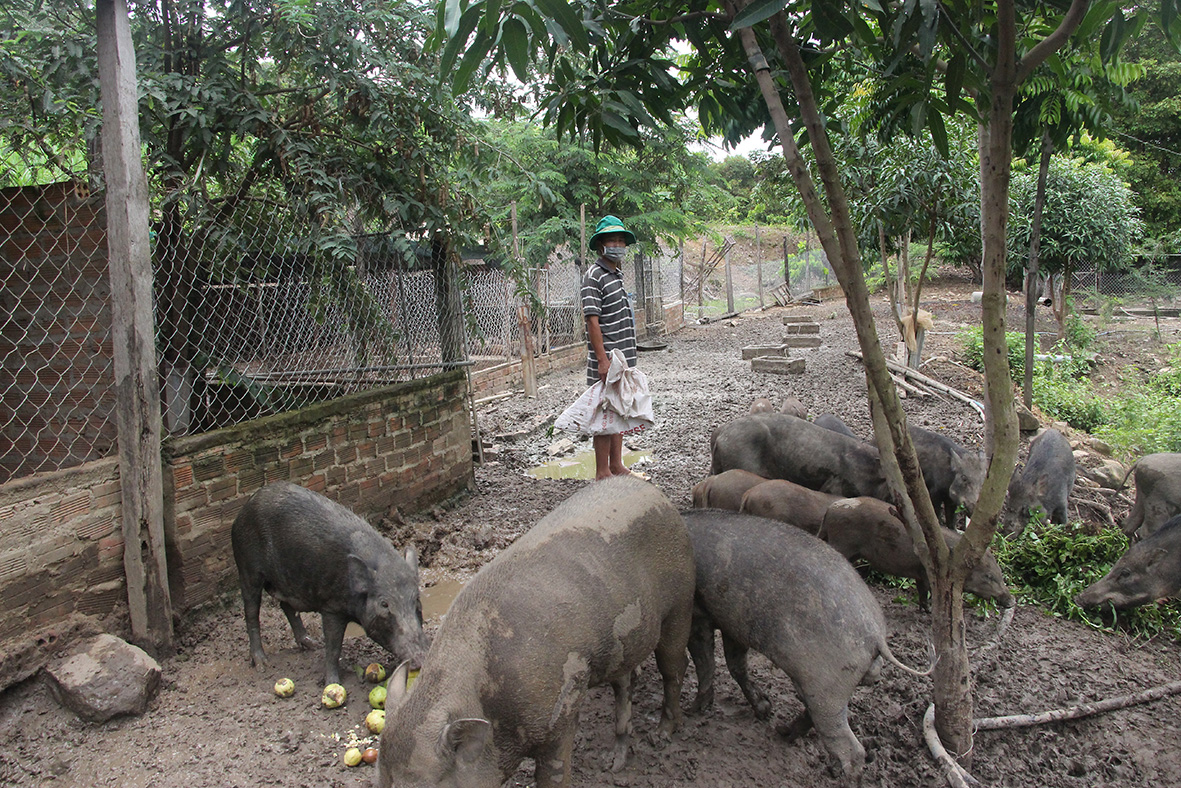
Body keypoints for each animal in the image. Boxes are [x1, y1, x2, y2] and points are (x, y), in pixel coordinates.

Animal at [227, 477, 427, 685]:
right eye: (384, 604)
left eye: (417, 600)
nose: (421, 658)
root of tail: (247, 505)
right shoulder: (331, 607)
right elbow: (333, 647)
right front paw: (332, 683)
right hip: (247, 567)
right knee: (251, 611)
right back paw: (262, 664)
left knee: (286, 606)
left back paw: (312, 645)